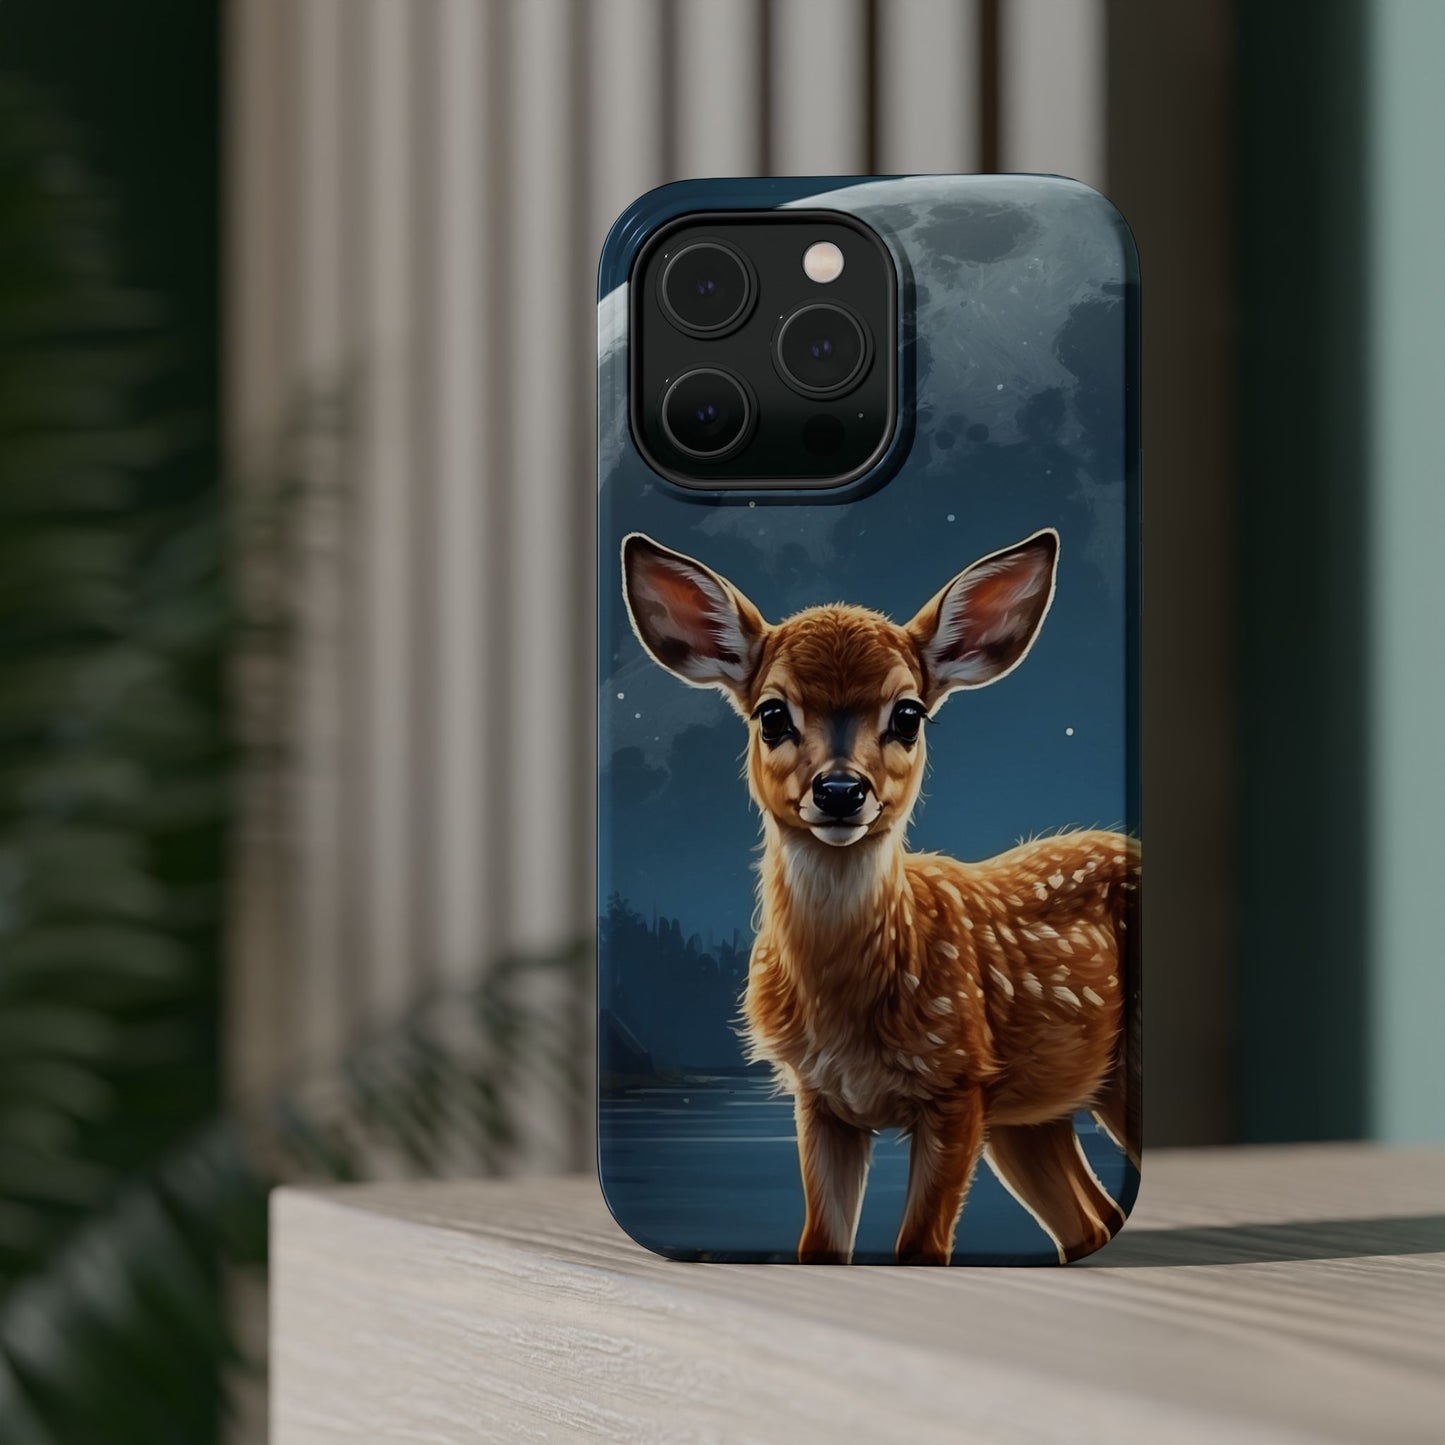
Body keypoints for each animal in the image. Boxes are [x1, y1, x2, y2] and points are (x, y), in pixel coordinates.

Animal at [620, 527, 1139, 1265]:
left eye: (908, 714)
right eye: (771, 713)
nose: (840, 790)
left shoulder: (956, 1082)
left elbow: (920, 1246)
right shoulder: (820, 1098)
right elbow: (819, 1243)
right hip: (1031, 1112)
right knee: (1091, 1221)